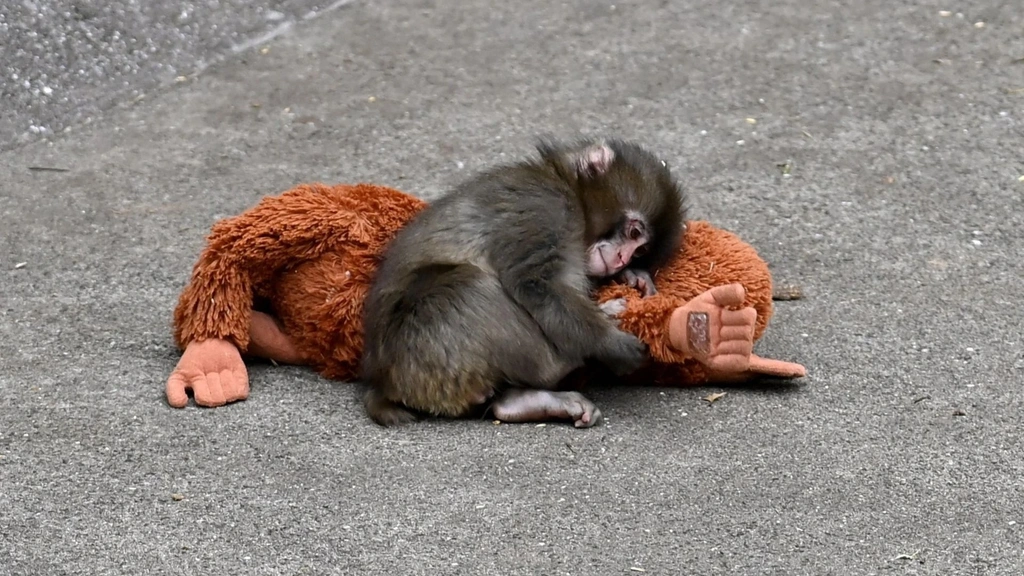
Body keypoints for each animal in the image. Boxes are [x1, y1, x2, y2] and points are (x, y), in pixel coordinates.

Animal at [360, 138, 686, 428]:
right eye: (634, 233)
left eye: (640, 251)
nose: (621, 259)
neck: (568, 189)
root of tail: (382, 383)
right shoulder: (545, 208)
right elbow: (536, 284)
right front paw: (610, 344)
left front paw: (633, 277)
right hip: (422, 350)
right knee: (468, 285)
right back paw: (565, 361)